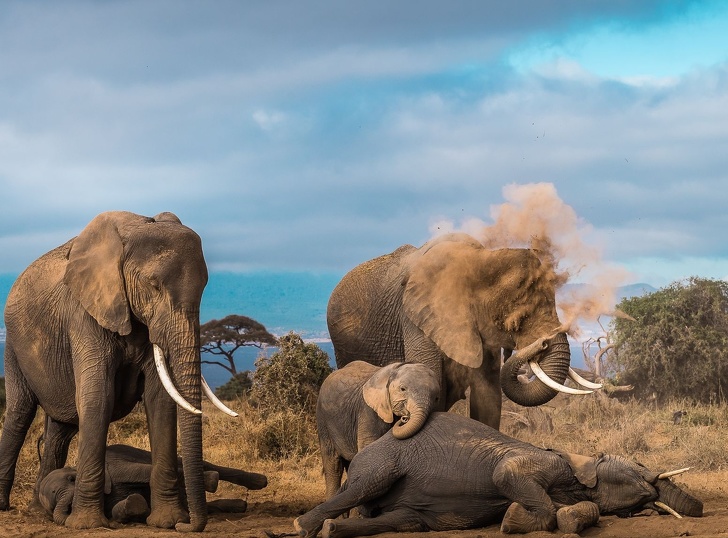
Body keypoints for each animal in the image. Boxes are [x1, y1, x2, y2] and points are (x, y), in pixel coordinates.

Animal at [0, 211, 236, 532]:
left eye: (203, 287)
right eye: (153, 285)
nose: (188, 526)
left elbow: (159, 400)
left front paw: (167, 521)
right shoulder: (85, 313)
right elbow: (98, 397)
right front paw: (87, 525)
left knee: (60, 429)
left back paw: (39, 509)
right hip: (13, 343)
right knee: (20, 412)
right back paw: (8, 505)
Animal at [38, 444, 267, 525]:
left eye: (72, 480)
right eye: (52, 503)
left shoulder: (111, 466)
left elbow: (140, 471)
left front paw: (211, 480)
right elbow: (122, 509)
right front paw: (134, 504)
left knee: (195, 463)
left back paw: (257, 481)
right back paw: (240, 506)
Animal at [294, 412, 703, 538]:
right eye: (639, 468)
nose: (699, 510)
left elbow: (580, 510)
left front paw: (567, 520)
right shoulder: (541, 462)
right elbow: (506, 475)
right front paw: (511, 520)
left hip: (409, 514)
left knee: (403, 521)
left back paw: (332, 530)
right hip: (383, 461)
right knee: (363, 486)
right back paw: (304, 526)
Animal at [317, 361, 440, 499]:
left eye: (436, 398)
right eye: (402, 389)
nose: (405, 418)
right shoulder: (368, 411)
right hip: (323, 418)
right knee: (333, 463)